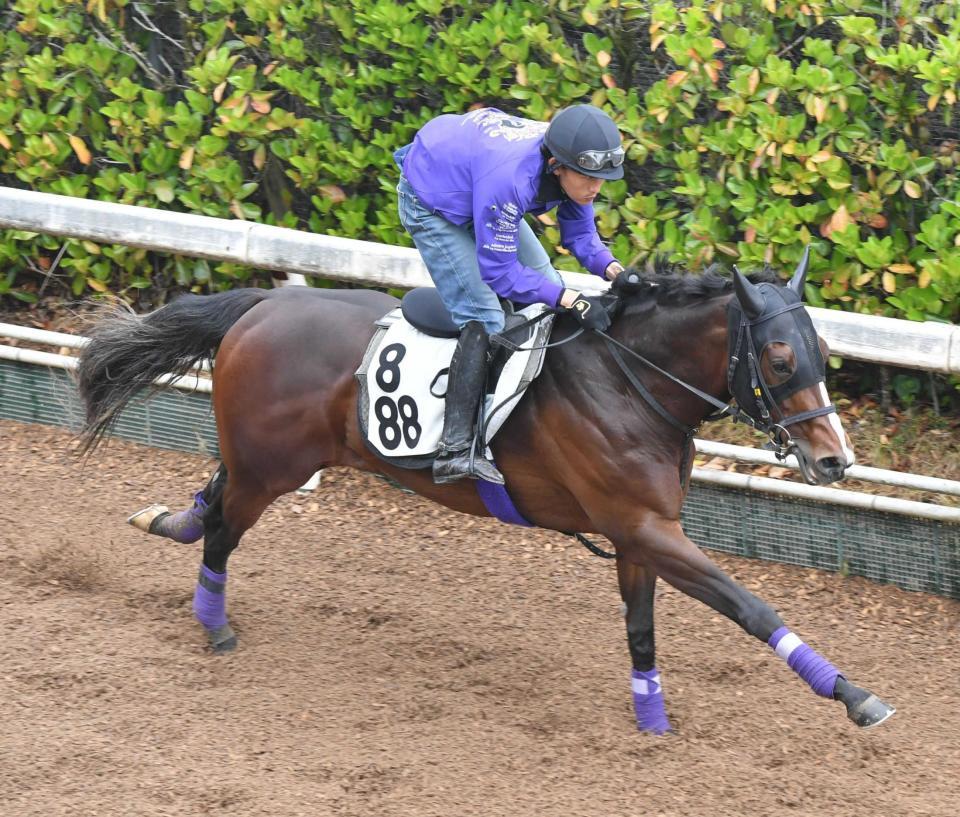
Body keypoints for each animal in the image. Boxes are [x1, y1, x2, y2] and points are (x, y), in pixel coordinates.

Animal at [73, 255, 892, 732]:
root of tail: (259, 307)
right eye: (780, 358)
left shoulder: (641, 531)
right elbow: (751, 606)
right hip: (270, 468)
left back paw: (164, 521)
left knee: (212, 499)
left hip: (261, 461)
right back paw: (213, 625)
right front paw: (854, 696)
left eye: (823, 351)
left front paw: (651, 715)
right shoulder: (644, 525)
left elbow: (640, 625)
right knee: (222, 530)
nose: (834, 459)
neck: (630, 378)